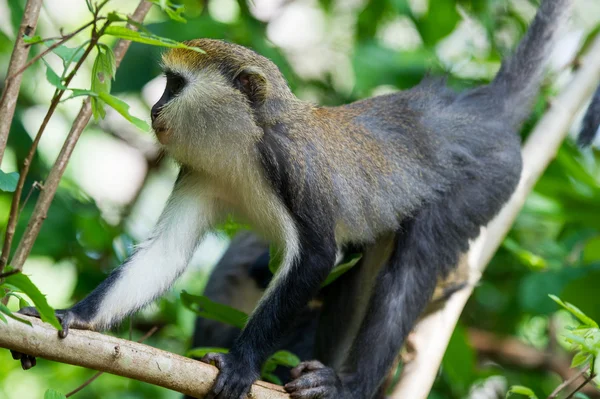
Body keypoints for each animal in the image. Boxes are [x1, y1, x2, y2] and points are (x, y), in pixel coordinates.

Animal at [10, 1, 572, 398]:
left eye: (173, 84)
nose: (153, 108)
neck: (243, 144)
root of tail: (478, 108)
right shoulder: (200, 172)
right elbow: (163, 255)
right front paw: (70, 317)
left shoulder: (287, 165)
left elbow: (319, 256)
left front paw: (241, 364)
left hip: (488, 178)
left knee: (412, 266)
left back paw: (350, 386)